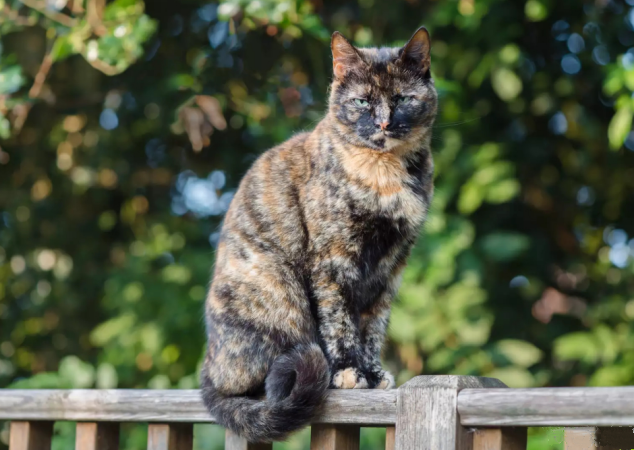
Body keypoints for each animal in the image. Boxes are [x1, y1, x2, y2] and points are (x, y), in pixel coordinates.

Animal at [200, 26, 436, 442]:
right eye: (362, 101)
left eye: (403, 99)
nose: (384, 124)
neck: (384, 172)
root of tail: (208, 372)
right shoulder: (331, 261)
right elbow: (339, 323)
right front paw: (349, 372)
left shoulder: (390, 267)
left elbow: (373, 326)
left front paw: (373, 373)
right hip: (281, 292)